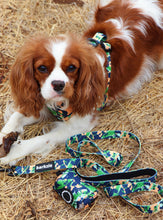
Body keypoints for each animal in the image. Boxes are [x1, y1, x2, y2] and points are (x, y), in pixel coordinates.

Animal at [0, 0, 163, 164]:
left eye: (72, 67)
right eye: (42, 68)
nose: (58, 84)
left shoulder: (79, 126)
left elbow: (40, 140)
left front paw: (13, 154)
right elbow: (16, 117)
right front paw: (5, 136)